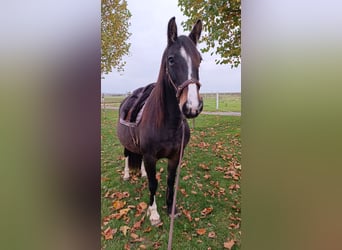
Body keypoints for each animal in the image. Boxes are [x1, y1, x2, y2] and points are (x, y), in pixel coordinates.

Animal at [117, 17, 203, 225]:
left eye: (200, 59)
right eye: (171, 59)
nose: (192, 106)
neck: (167, 124)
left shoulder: (175, 156)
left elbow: (170, 181)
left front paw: (171, 208)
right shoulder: (150, 157)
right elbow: (153, 183)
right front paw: (154, 213)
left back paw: (140, 172)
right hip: (126, 143)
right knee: (126, 156)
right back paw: (126, 174)